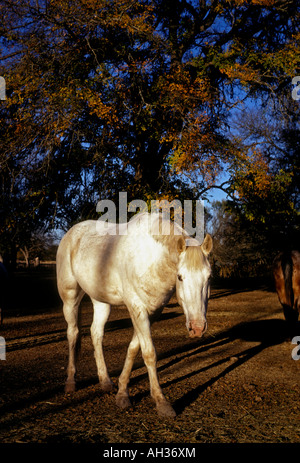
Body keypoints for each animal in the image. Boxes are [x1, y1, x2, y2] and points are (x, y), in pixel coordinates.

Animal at [56, 214, 211, 420]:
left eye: (209, 277)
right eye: (180, 277)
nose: (197, 327)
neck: (150, 257)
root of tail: (71, 233)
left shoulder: (152, 312)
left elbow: (133, 348)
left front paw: (122, 393)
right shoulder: (137, 308)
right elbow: (149, 353)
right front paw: (161, 402)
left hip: (101, 301)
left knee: (96, 333)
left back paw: (105, 381)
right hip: (70, 298)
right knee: (73, 334)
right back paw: (70, 382)